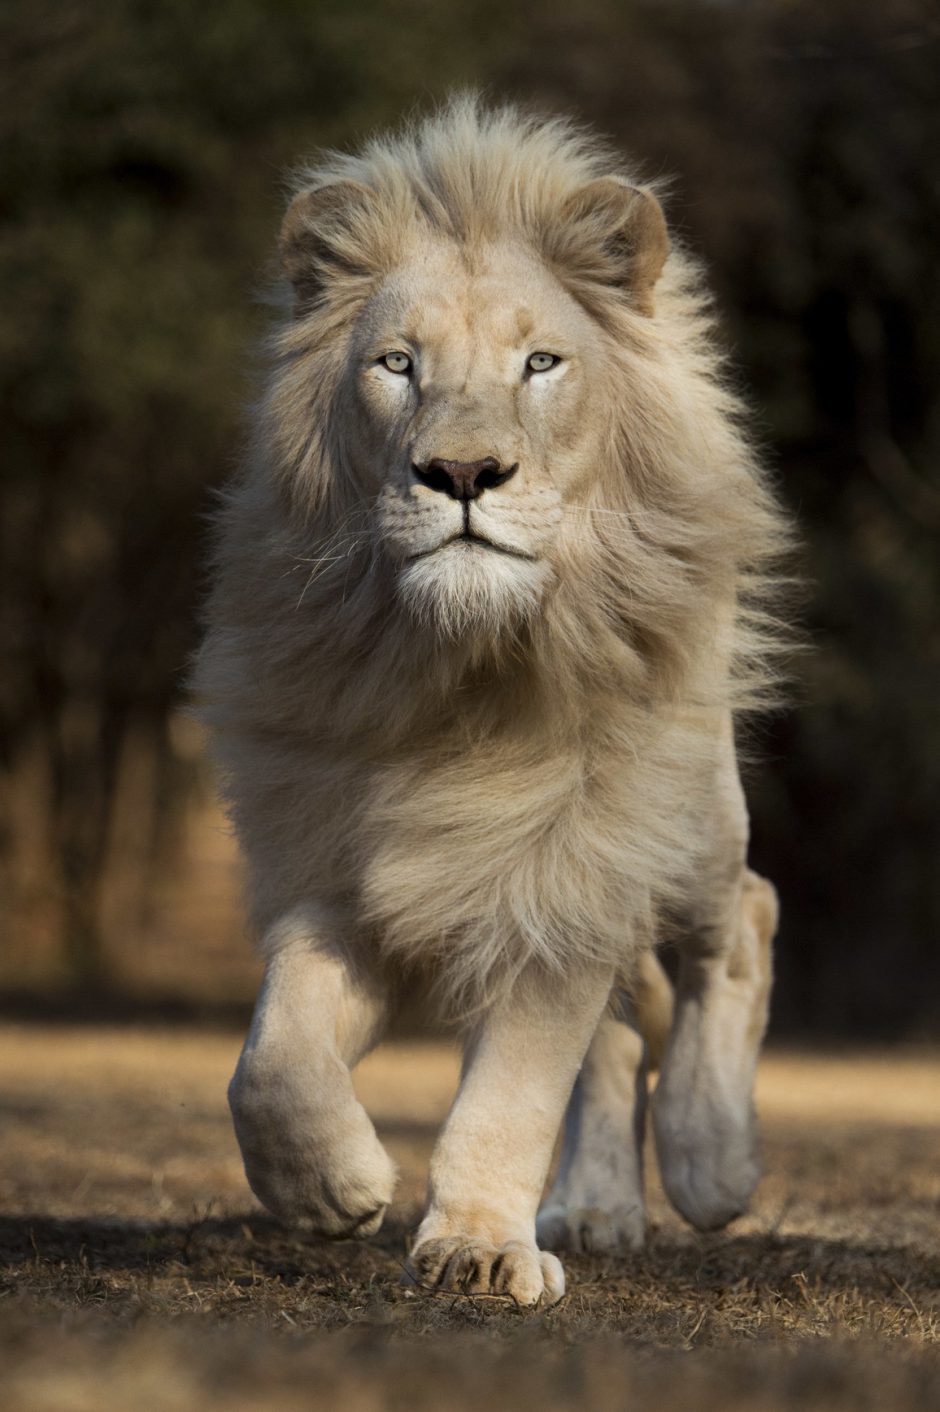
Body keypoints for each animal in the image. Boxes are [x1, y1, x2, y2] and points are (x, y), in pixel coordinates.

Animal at [196, 99, 784, 1304]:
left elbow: (511, 1093)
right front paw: (331, 1187)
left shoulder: (569, 875)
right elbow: (273, 1053)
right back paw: (597, 1207)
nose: (462, 474)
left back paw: (709, 1159)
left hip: (684, 819)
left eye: (541, 363)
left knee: (740, 920)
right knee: (619, 1033)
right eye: (396, 365)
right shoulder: (349, 883)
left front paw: (473, 1243)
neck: (459, 675)